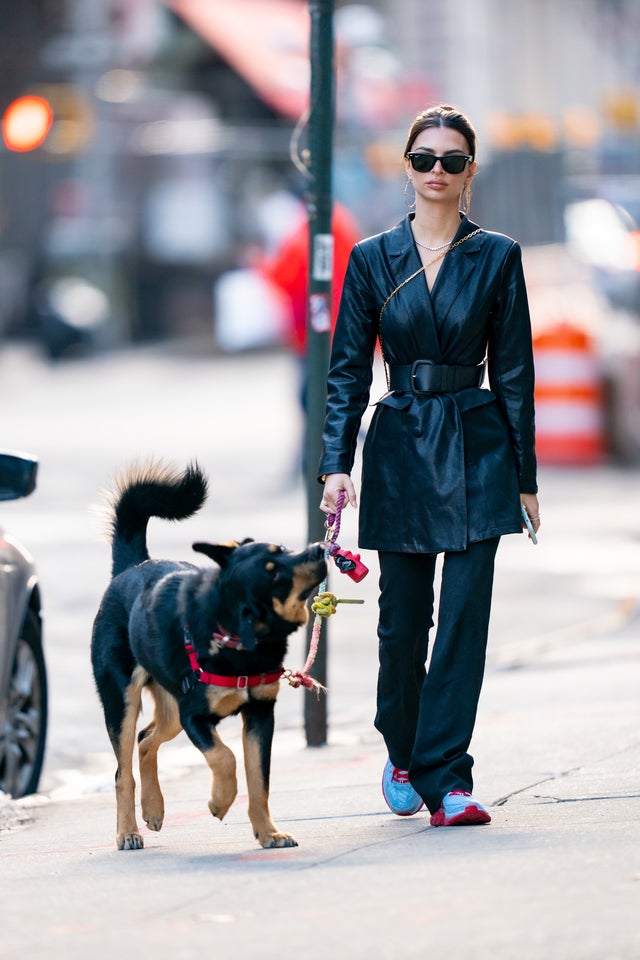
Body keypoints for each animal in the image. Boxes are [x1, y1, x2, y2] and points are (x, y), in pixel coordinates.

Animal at [90, 462, 324, 852]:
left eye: (284, 549)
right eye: (273, 571)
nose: (321, 548)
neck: (238, 636)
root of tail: (133, 567)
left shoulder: (260, 715)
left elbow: (259, 781)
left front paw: (268, 832)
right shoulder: (195, 715)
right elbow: (225, 757)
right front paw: (220, 801)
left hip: (170, 710)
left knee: (146, 740)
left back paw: (153, 808)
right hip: (123, 701)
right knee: (124, 770)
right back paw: (128, 832)